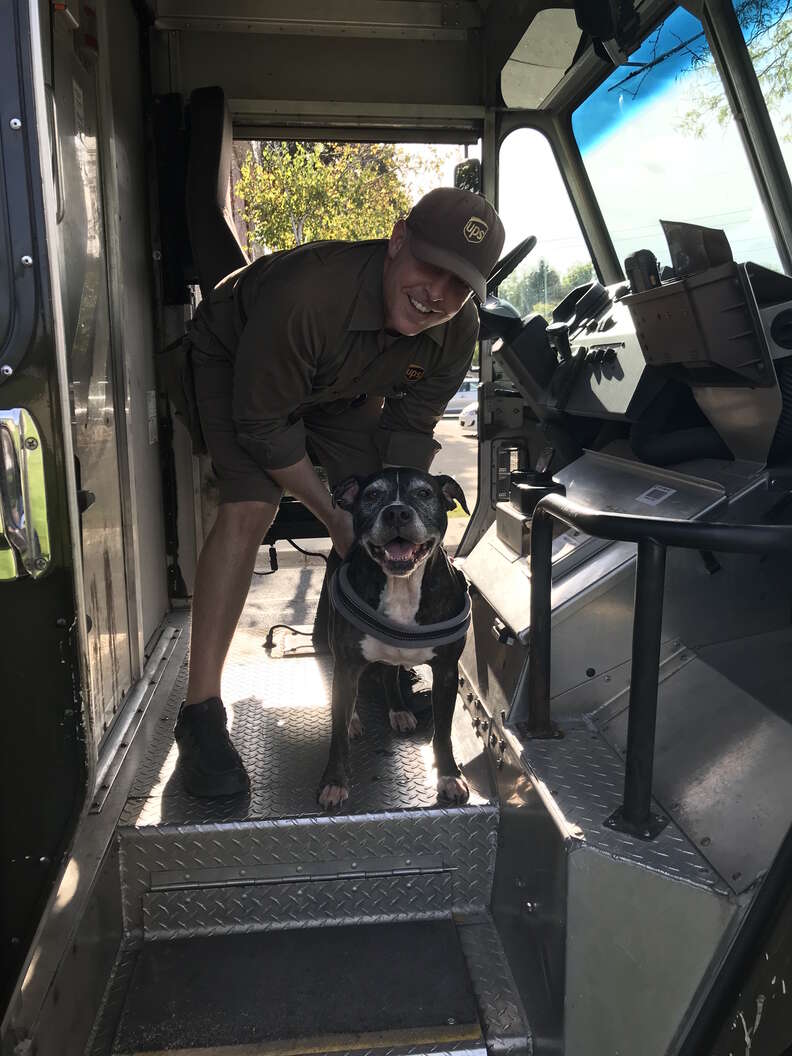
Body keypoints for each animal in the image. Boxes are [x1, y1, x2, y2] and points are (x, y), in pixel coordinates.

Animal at [318, 468, 475, 806]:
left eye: (425, 493)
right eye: (372, 495)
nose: (397, 512)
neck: (402, 586)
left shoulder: (446, 671)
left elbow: (443, 732)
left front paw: (449, 776)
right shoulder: (348, 664)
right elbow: (337, 734)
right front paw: (334, 781)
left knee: (389, 673)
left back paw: (400, 710)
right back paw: (353, 718)